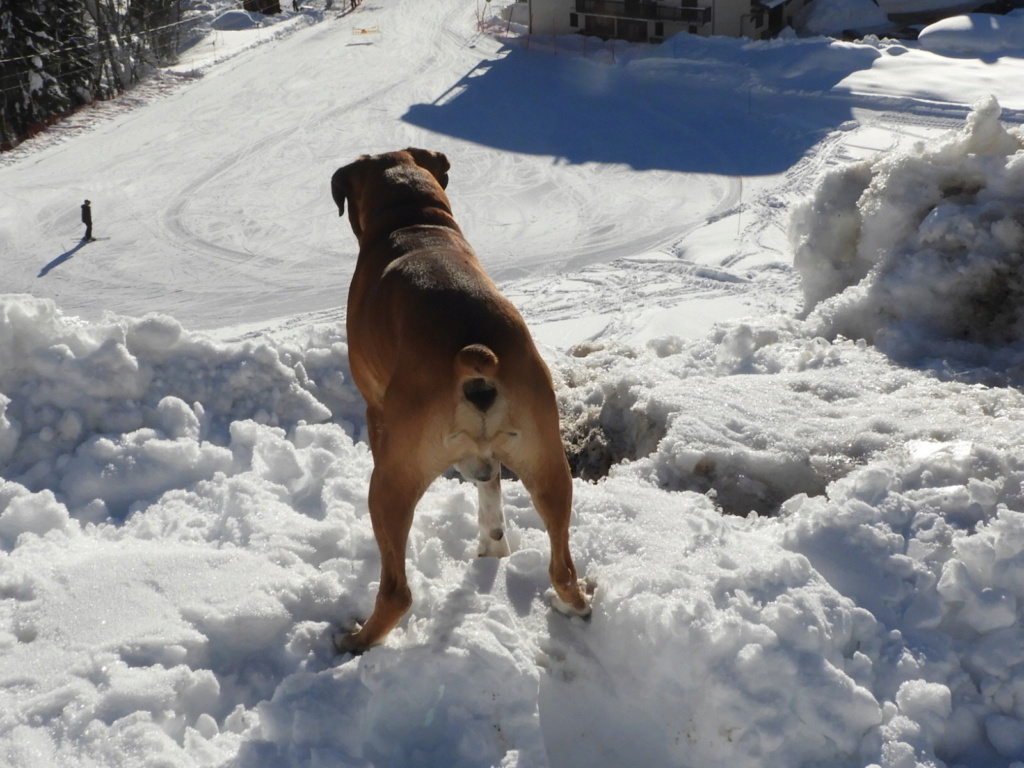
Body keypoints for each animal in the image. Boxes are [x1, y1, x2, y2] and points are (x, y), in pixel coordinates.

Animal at [331, 147, 593, 651]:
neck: (412, 221)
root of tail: (473, 351)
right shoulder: (493, 457)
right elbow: (489, 487)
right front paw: (493, 544)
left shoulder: (375, 411)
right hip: (550, 465)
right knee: (562, 567)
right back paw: (574, 603)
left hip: (389, 486)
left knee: (397, 591)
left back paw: (356, 641)